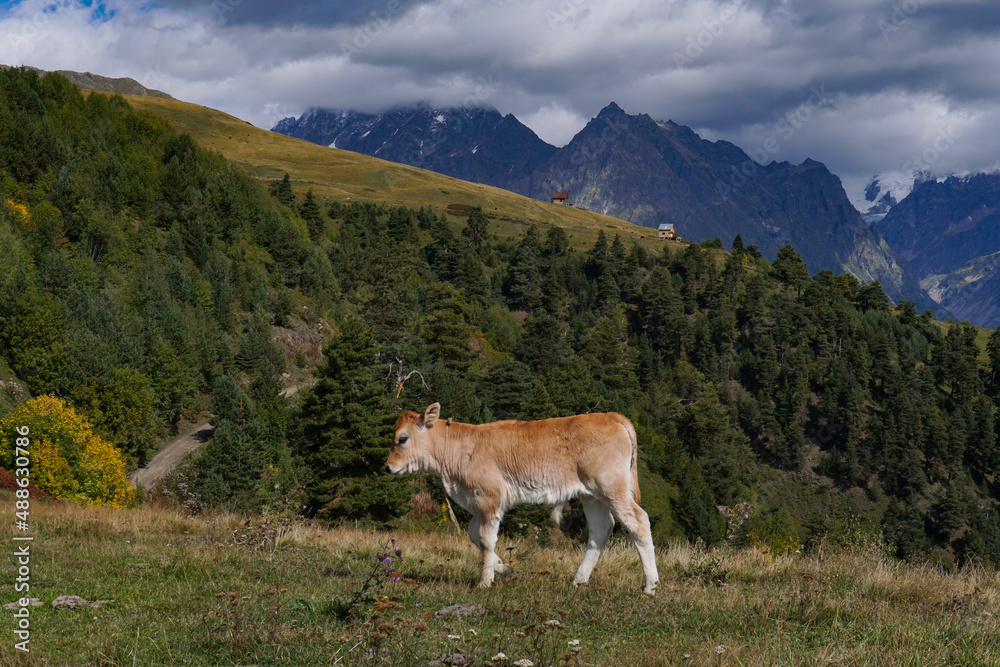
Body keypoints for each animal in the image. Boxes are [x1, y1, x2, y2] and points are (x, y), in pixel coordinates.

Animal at [386, 402, 660, 596]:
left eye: (402, 439)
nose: (388, 467)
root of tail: (611, 416)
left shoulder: (489, 498)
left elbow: (485, 539)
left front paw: (484, 581)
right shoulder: (477, 503)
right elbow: (474, 535)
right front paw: (501, 566)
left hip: (612, 486)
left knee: (638, 521)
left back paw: (650, 586)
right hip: (591, 494)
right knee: (601, 529)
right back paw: (579, 581)